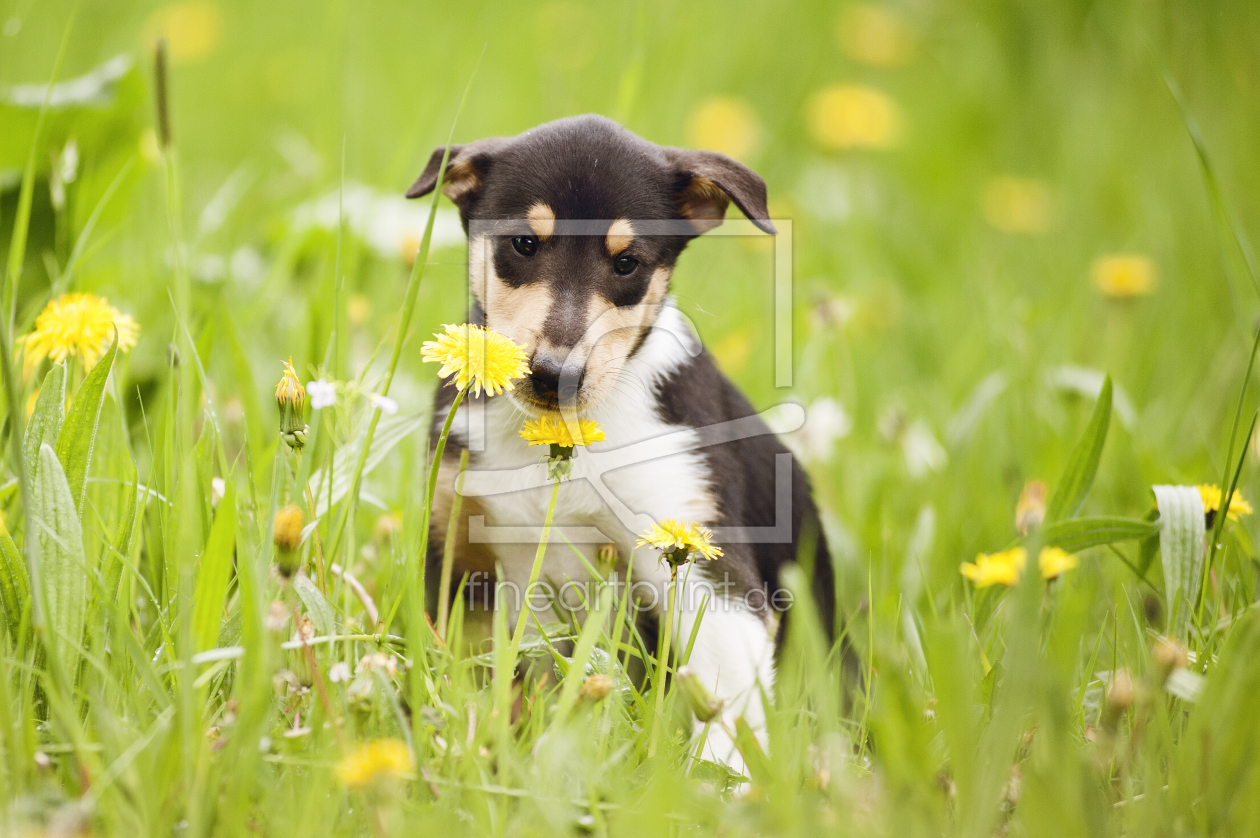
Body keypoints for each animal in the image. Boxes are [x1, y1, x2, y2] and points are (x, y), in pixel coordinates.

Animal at [405, 114, 836, 776]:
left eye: (627, 263)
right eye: (522, 244)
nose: (555, 375)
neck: (559, 440)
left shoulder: (704, 562)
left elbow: (725, 703)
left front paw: (721, 787)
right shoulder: (458, 554)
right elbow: (461, 674)